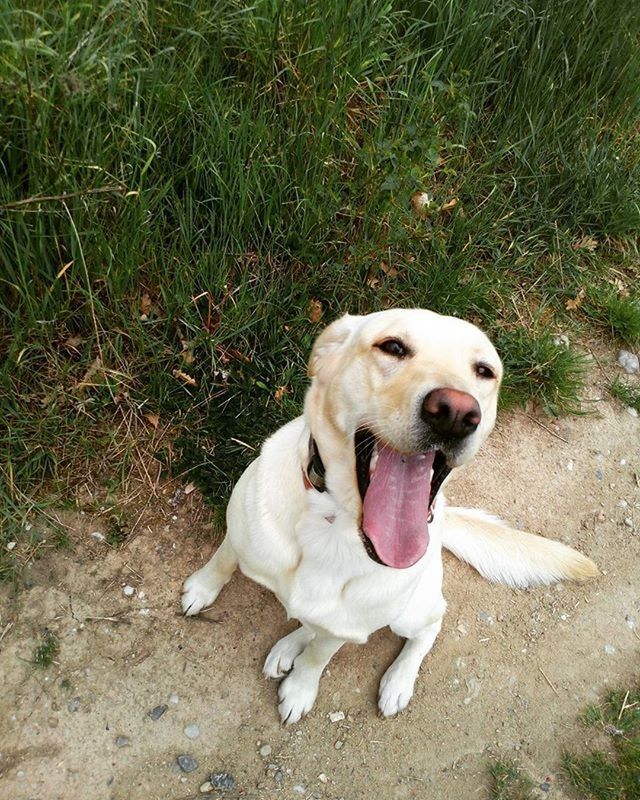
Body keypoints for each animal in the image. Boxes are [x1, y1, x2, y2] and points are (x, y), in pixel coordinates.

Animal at [180, 310, 596, 720]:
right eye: (393, 347)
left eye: (484, 371)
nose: (456, 411)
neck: (335, 520)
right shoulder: (239, 537)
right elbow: (222, 562)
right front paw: (200, 590)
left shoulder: (341, 632)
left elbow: (317, 659)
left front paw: (300, 690)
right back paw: (288, 646)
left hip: (411, 611)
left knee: (429, 625)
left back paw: (398, 680)